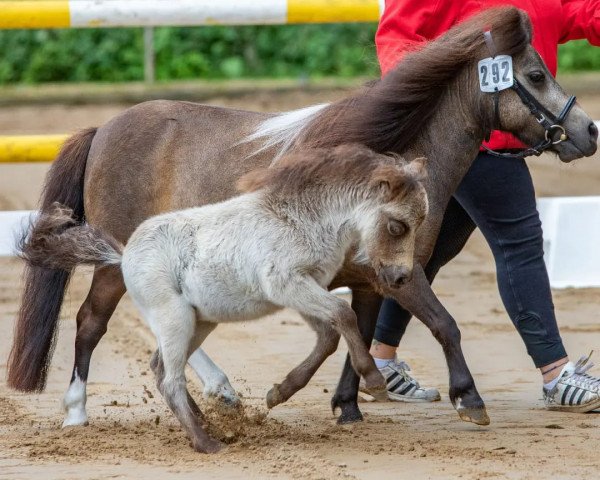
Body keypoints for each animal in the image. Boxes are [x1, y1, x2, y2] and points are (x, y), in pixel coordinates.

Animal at [7, 5, 596, 430]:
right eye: (535, 75)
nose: (588, 132)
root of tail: (102, 129)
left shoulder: (374, 279)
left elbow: (357, 333)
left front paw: (347, 404)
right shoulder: (402, 277)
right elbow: (443, 325)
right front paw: (468, 399)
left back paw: (221, 392)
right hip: (114, 262)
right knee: (91, 323)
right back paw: (77, 411)